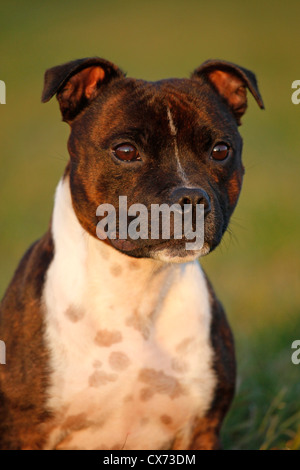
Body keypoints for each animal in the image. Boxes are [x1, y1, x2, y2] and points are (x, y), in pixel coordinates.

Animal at [0, 57, 262, 450]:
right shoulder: (24, 431)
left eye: (220, 150)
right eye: (125, 151)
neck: (137, 288)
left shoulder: (202, 429)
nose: (191, 197)